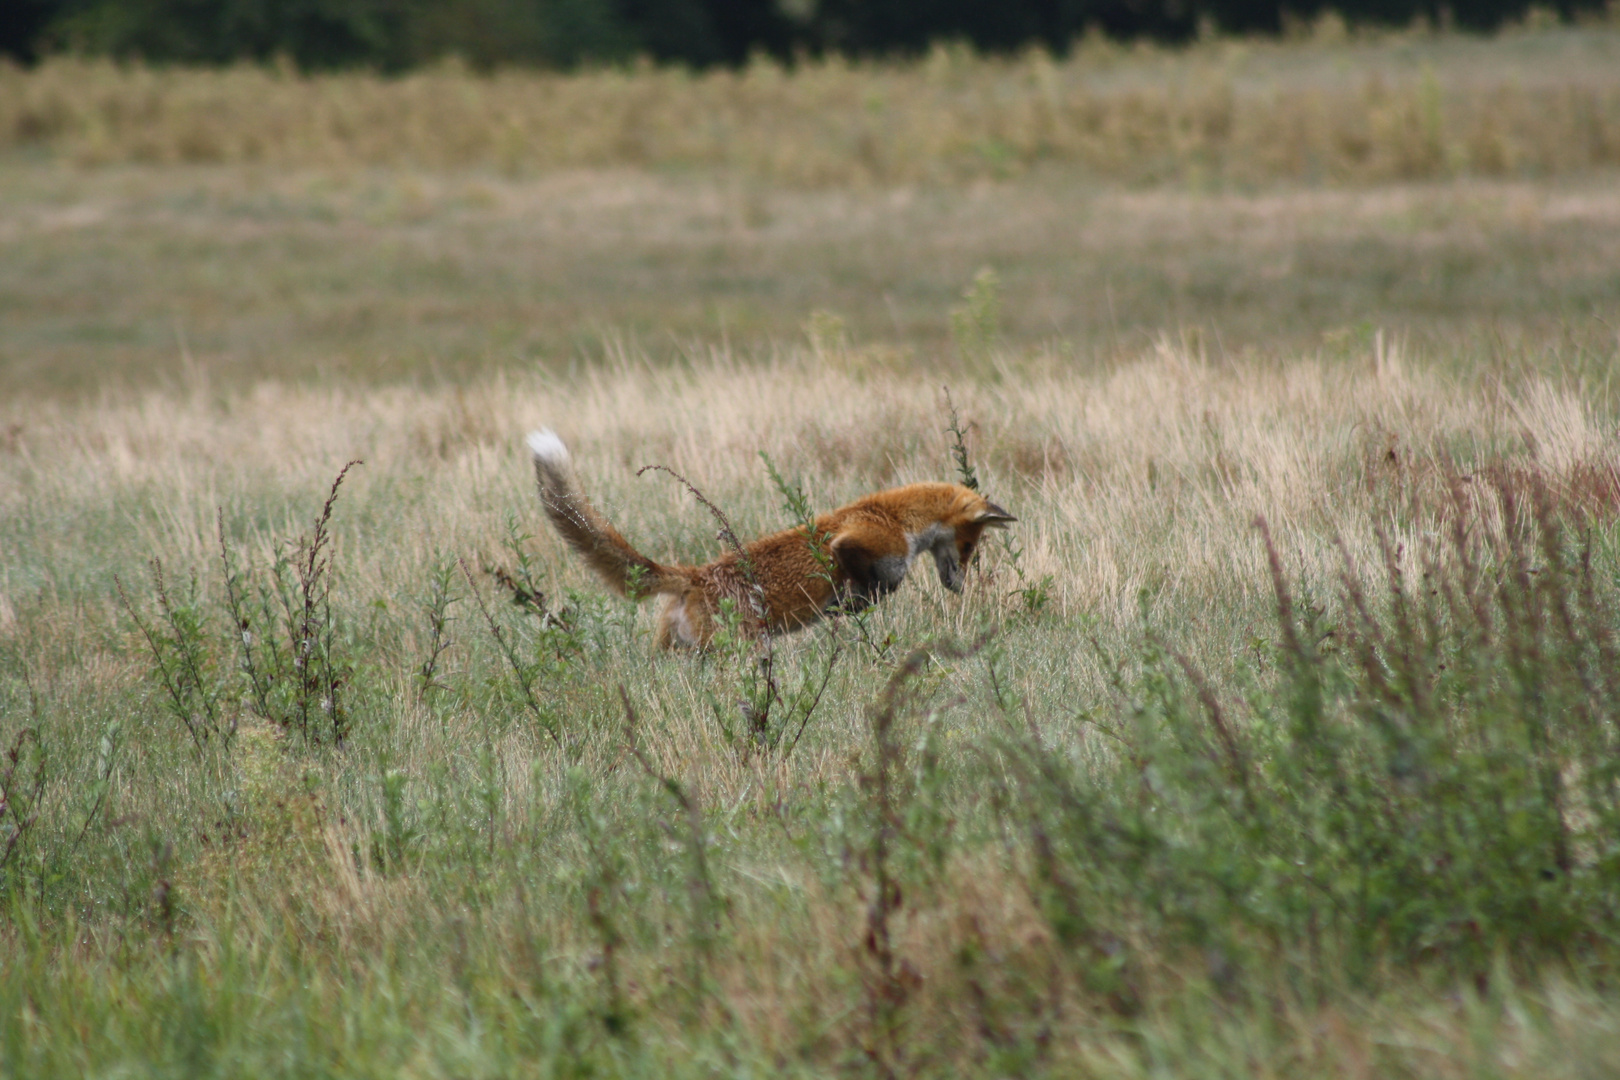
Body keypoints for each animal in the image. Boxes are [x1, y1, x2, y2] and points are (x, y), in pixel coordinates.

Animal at [531, 427, 1010, 650]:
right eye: (970, 547)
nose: (959, 586)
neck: (895, 517)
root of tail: (695, 576)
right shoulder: (860, 545)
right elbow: (879, 587)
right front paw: (849, 605)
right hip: (735, 649)